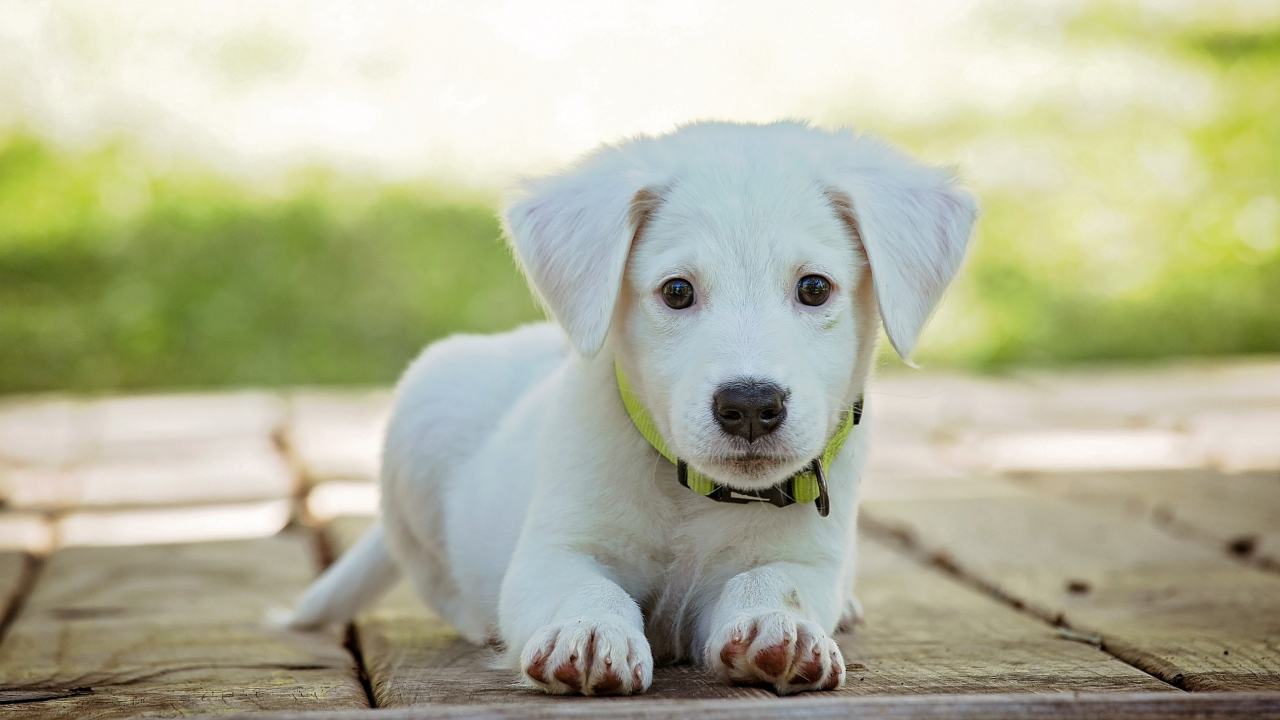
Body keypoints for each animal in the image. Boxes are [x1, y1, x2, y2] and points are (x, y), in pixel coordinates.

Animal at [288, 121, 967, 696]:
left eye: (815, 288)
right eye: (677, 291)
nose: (750, 405)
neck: (693, 495)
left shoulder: (805, 558)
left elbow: (772, 582)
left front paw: (783, 628)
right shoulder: (554, 550)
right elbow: (585, 588)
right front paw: (590, 633)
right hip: (421, 420)